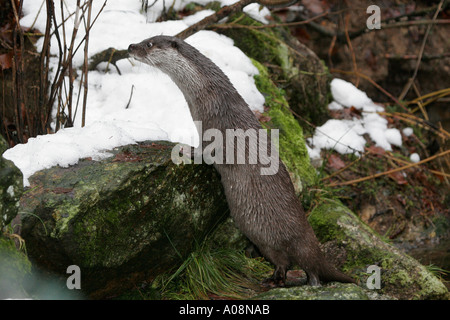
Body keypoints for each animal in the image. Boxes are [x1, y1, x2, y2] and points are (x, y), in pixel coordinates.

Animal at [127, 36, 356, 286]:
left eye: (149, 44)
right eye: (143, 39)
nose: (130, 47)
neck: (212, 98)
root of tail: (313, 245)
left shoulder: (216, 132)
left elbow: (206, 153)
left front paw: (185, 149)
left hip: (280, 239)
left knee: (301, 265)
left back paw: (282, 280)